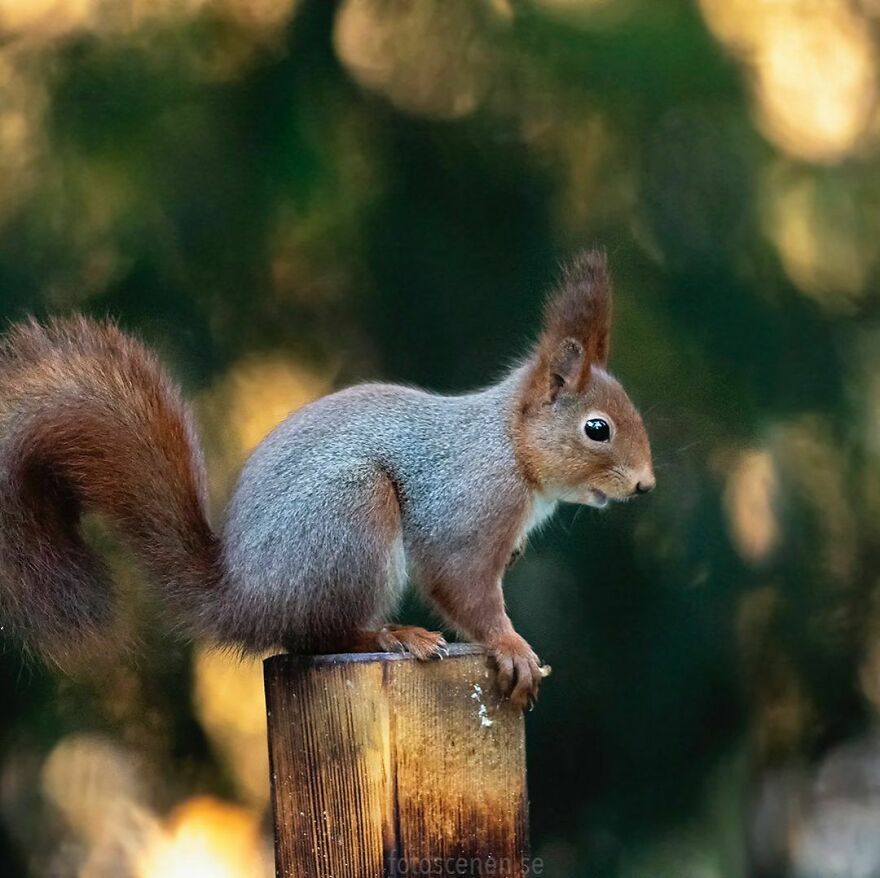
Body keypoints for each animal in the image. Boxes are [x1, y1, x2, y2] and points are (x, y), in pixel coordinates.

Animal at [0, 249, 653, 708]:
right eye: (597, 429)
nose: (645, 485)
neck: (511, 449)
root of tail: (245, 599)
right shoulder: (469, 502)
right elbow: (461, 582)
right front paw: (512, 647)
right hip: (351, 521)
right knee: (323, 635)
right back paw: (392, 636)